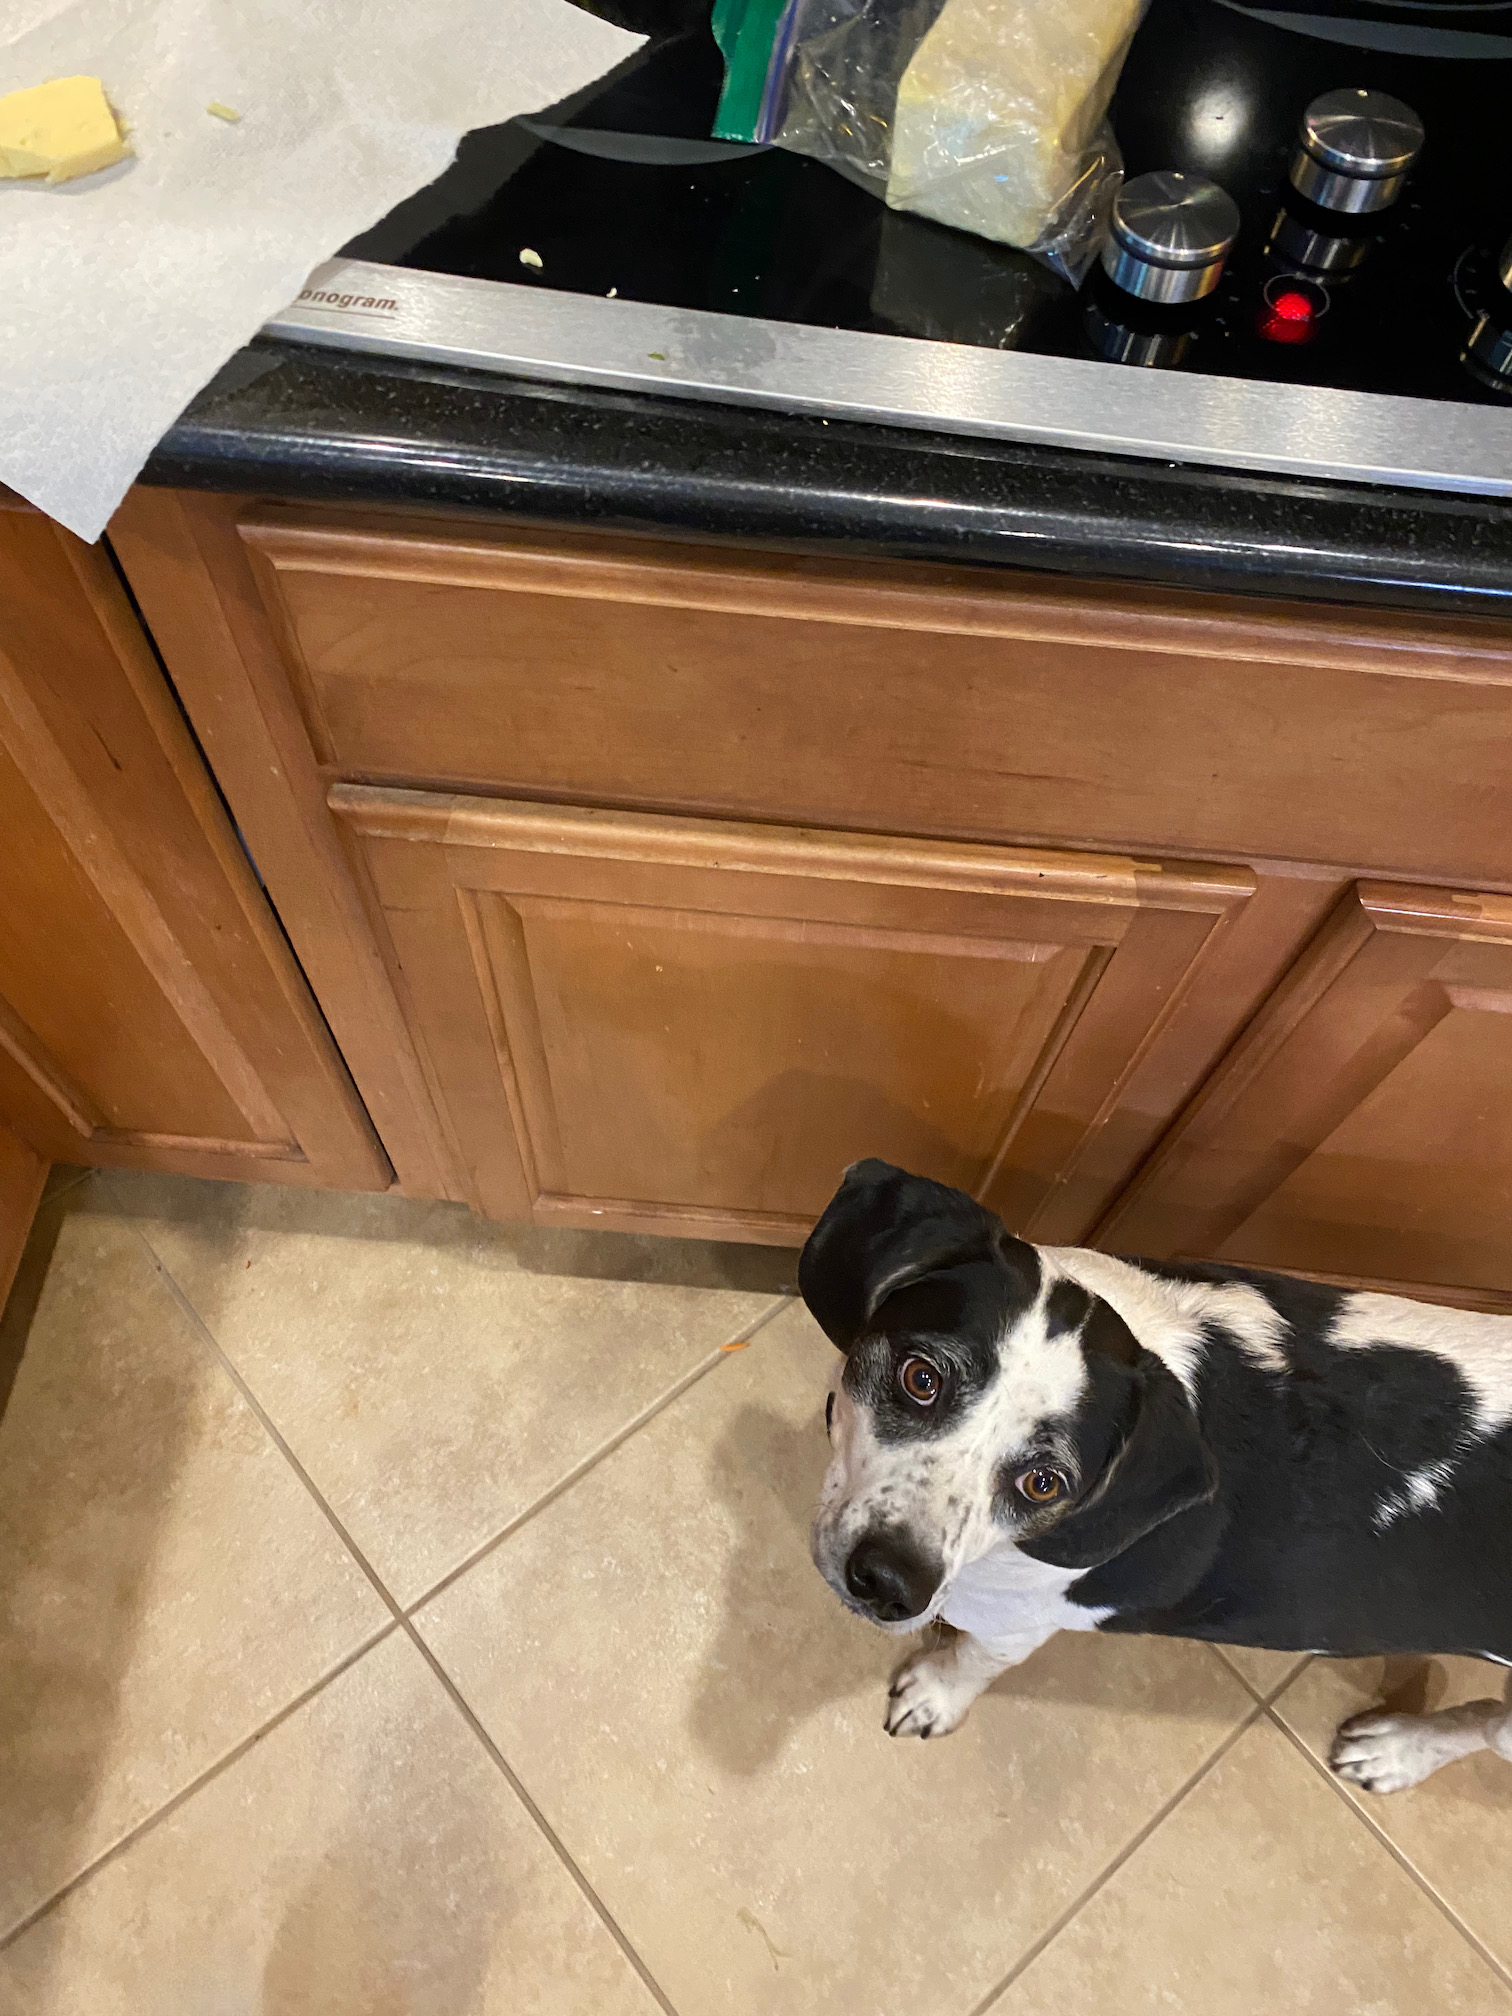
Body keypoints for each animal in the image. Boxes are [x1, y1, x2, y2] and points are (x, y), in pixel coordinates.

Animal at [802, 1159, 1512, 1795]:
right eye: (921, 1378)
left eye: (1044, 1483)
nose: (892, 1583)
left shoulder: (1014, 1621)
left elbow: (976, 1659)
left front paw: (936, 1694)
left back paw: (1399, 1751)